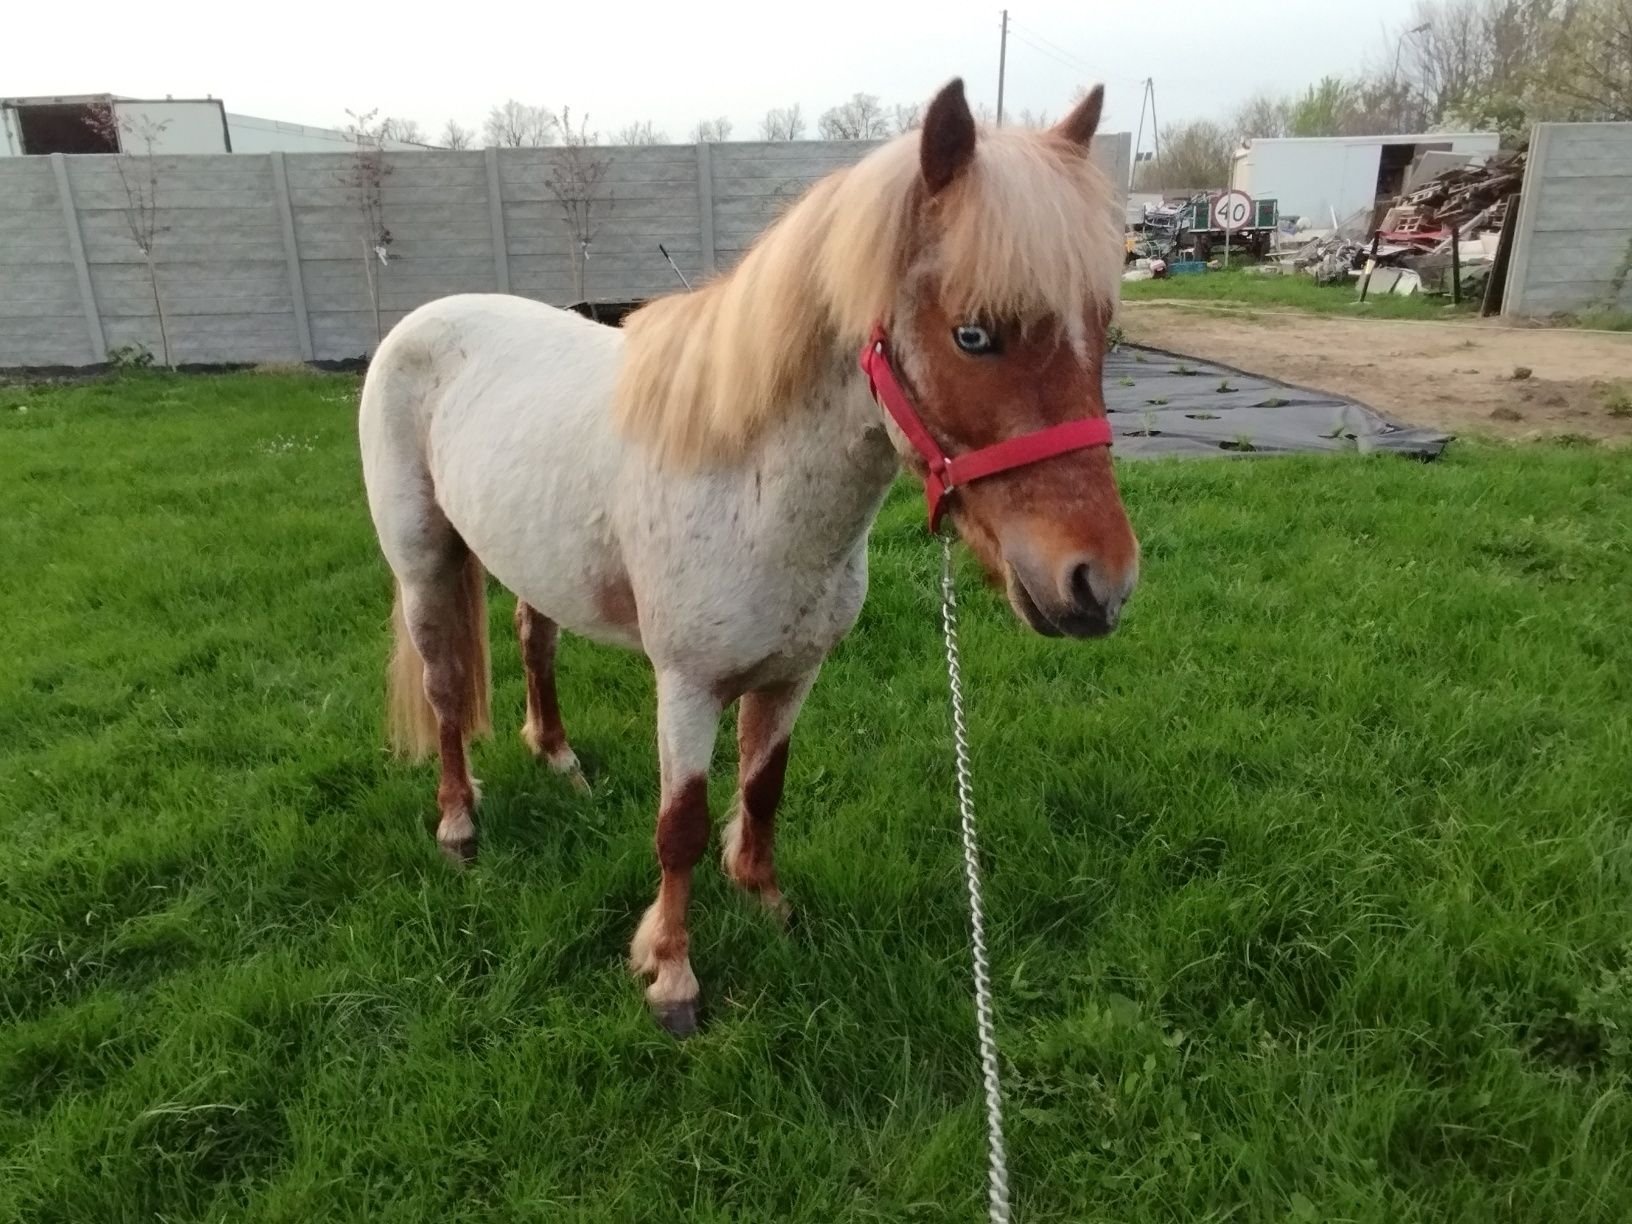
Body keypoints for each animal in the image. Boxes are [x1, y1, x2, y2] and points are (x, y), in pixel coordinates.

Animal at [360, 79, 1135, 1037]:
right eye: (973, 335)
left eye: (1103, 325)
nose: (1099, 583)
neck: (752, 484)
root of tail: (424, 319)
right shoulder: (686, 687)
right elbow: (681, 826)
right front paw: (671, 975)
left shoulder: (791, 675)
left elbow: (764, 788)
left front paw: (766, 903)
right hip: (424, 563)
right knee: (442, 691)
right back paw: (460, 827)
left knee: (533, 640)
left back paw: (559, 758)